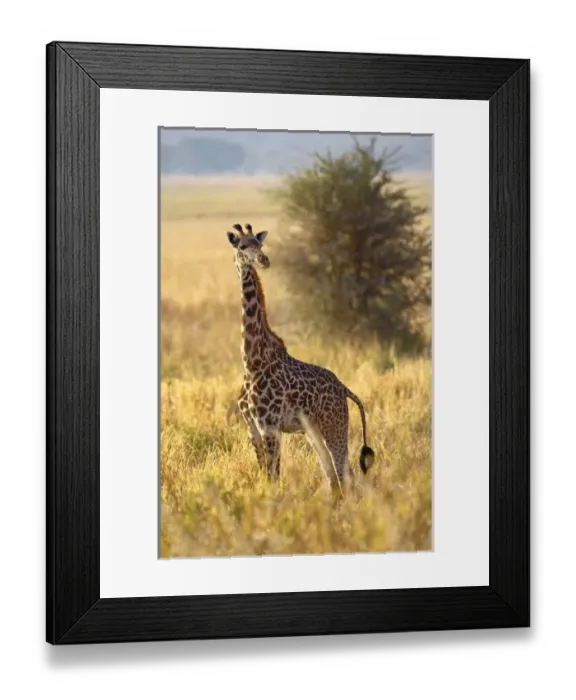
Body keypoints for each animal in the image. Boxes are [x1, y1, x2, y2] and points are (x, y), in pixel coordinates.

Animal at [227, 223, 375, 491]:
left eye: (259, 243)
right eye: (242, 246)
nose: (264, 260)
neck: (251, 360)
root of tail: (344, 388)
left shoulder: (270, 425)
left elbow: (273, 476)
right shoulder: (252, 426)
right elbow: (264, 473)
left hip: (334, 424)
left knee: (344, 474)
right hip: (313, 430)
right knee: (332, 476)